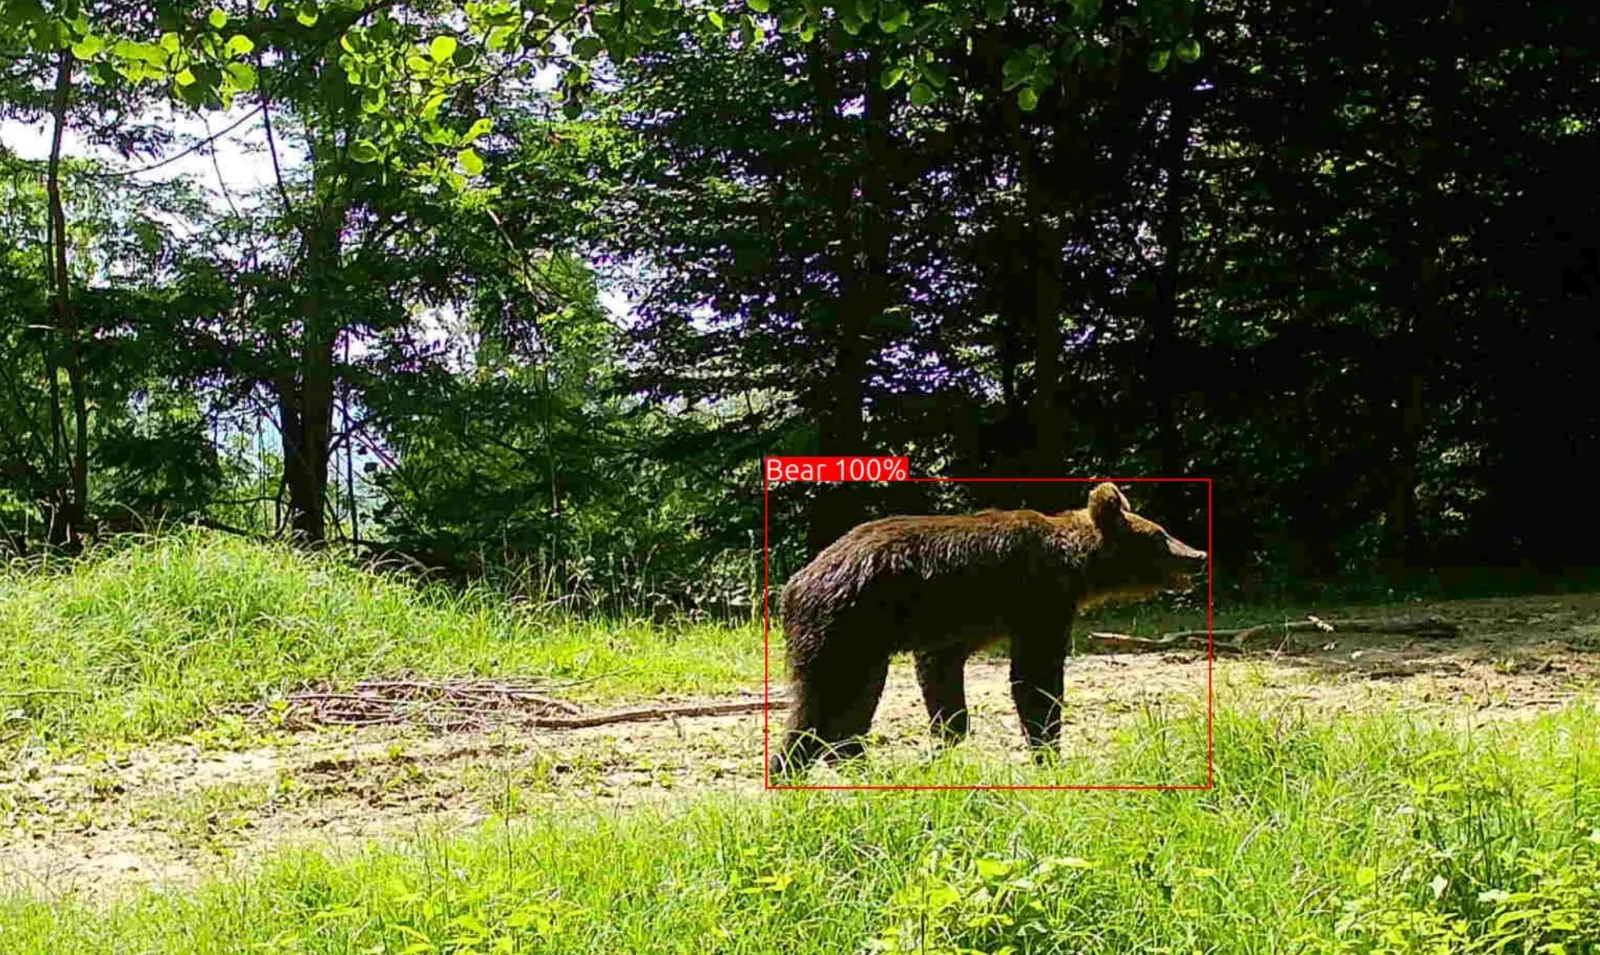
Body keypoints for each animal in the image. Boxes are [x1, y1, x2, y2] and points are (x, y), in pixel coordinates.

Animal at [768, 481, 1207, 778]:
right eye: (1160, 536)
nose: (1198, 554)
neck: (1075, 565)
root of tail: (792, 584)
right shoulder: (1039, 602)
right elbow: (1035, 678)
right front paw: (1049, 752)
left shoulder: (952, 628)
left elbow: (942, 677)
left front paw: (948, 744)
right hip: (841, 625)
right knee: (818, 700)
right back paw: (790, 765)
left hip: (866, 642)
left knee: (855, 702)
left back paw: (855, 762)